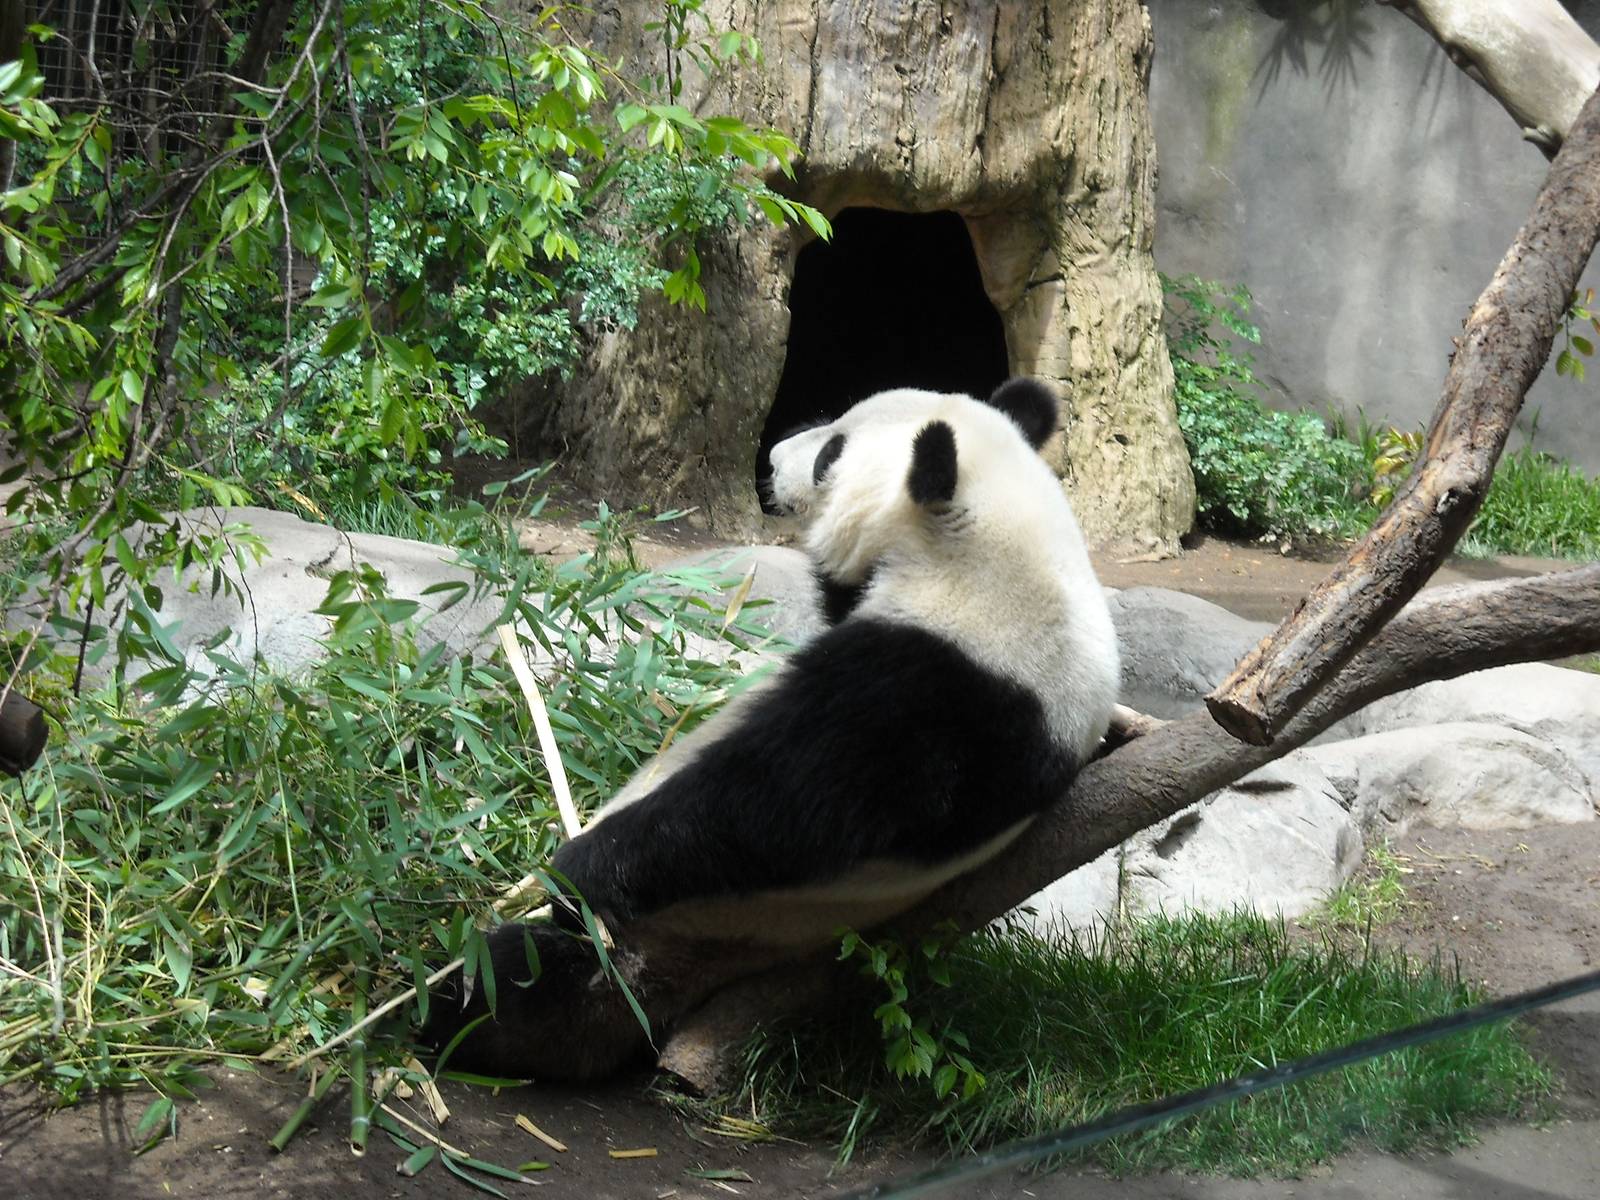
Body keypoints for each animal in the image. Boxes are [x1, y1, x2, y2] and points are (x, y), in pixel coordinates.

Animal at [428, 377, 1120, 1080]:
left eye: (832, 452)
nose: (775, 455)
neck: (993, 553)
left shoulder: (940, 688)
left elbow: (780, 809)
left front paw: (576, 868)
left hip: (664, 931)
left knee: (514, 978)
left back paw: (441, 1000)